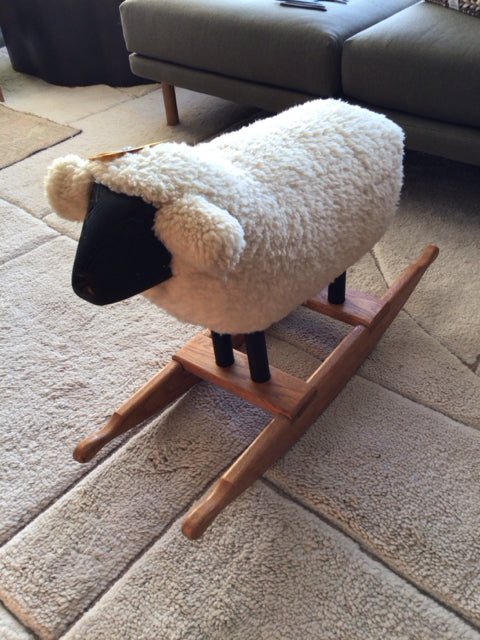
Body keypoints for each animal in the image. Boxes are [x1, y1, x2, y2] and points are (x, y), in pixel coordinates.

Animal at [45, 99, 404, 338]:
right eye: (92, 207)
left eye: (133, 223)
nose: (82, 284)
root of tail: (375, 117)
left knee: (340, 277)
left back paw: (337, 299)